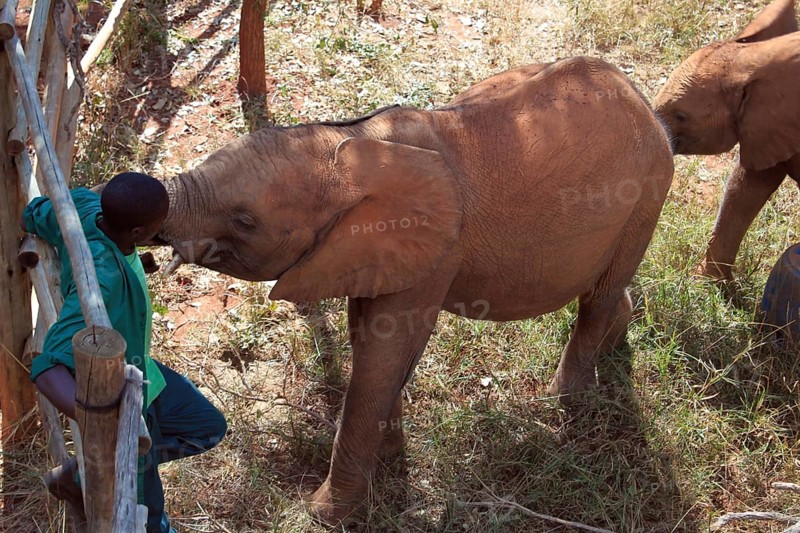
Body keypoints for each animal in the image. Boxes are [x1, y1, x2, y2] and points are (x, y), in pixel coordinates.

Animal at [156, 56, 674, 524]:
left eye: (245, 221)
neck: (353, 142)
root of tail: (639, 97)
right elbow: (369, 338)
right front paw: (388, 461)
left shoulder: (435, 250)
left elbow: (383, 351)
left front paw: (324, 514)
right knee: (606, 289)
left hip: (647, 193)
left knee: (598, 298)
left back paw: (565, 403)